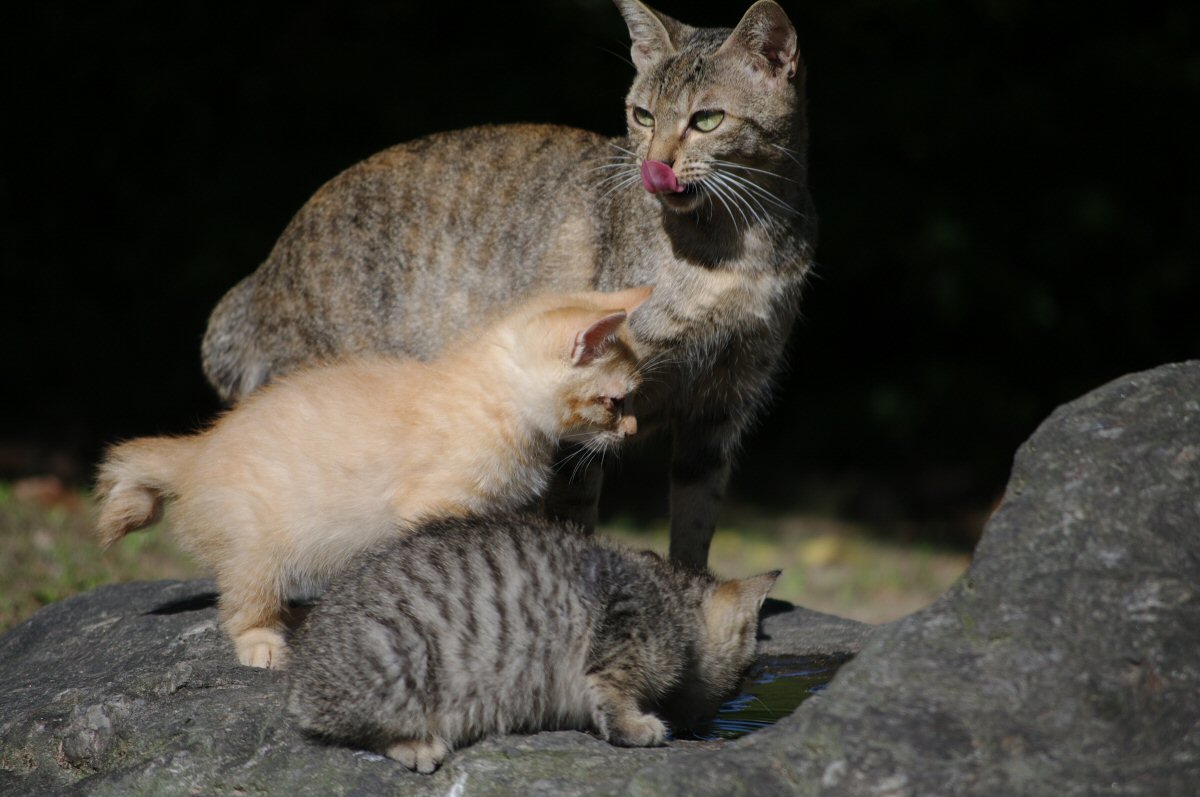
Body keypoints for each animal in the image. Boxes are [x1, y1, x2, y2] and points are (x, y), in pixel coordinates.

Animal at [93, 284, 652, 667]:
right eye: (615, 402)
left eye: (630, 403)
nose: (633, 431)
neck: (497, 402)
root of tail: (199, 448)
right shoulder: (431, 508)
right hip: (253, 545)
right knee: (242, 602)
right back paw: (264, 641)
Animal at [199, 1, 816, 573]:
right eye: (642, 115)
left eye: (706, 120)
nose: (653, 162)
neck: (739, 251)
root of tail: (266, 267)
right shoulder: (585, 400)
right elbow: (575, 507)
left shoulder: (722, 406)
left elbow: (696, 516)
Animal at [286, 511, 782, 772]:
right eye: (746, 673)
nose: (714, 719)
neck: (671, 598)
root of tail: (304, 675)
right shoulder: (620, 637)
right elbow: (613, 694)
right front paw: (636, 727)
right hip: (402, 658)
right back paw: (416, 745)